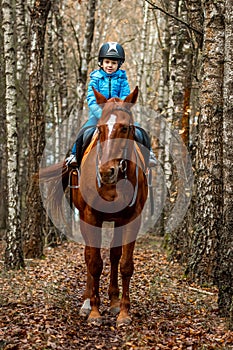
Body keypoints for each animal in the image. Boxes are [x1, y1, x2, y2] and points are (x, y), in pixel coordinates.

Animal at [38, 86, 147, 326]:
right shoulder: (91, 217)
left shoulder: (132, 219)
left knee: (114, 256)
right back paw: (87, 303)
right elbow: (95, 262)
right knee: (89, 255)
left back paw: (113, 302)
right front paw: (95, 312)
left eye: (125, 127)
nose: (106, 172)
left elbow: (125, 264)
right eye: (100, 128)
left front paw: (124, 313)